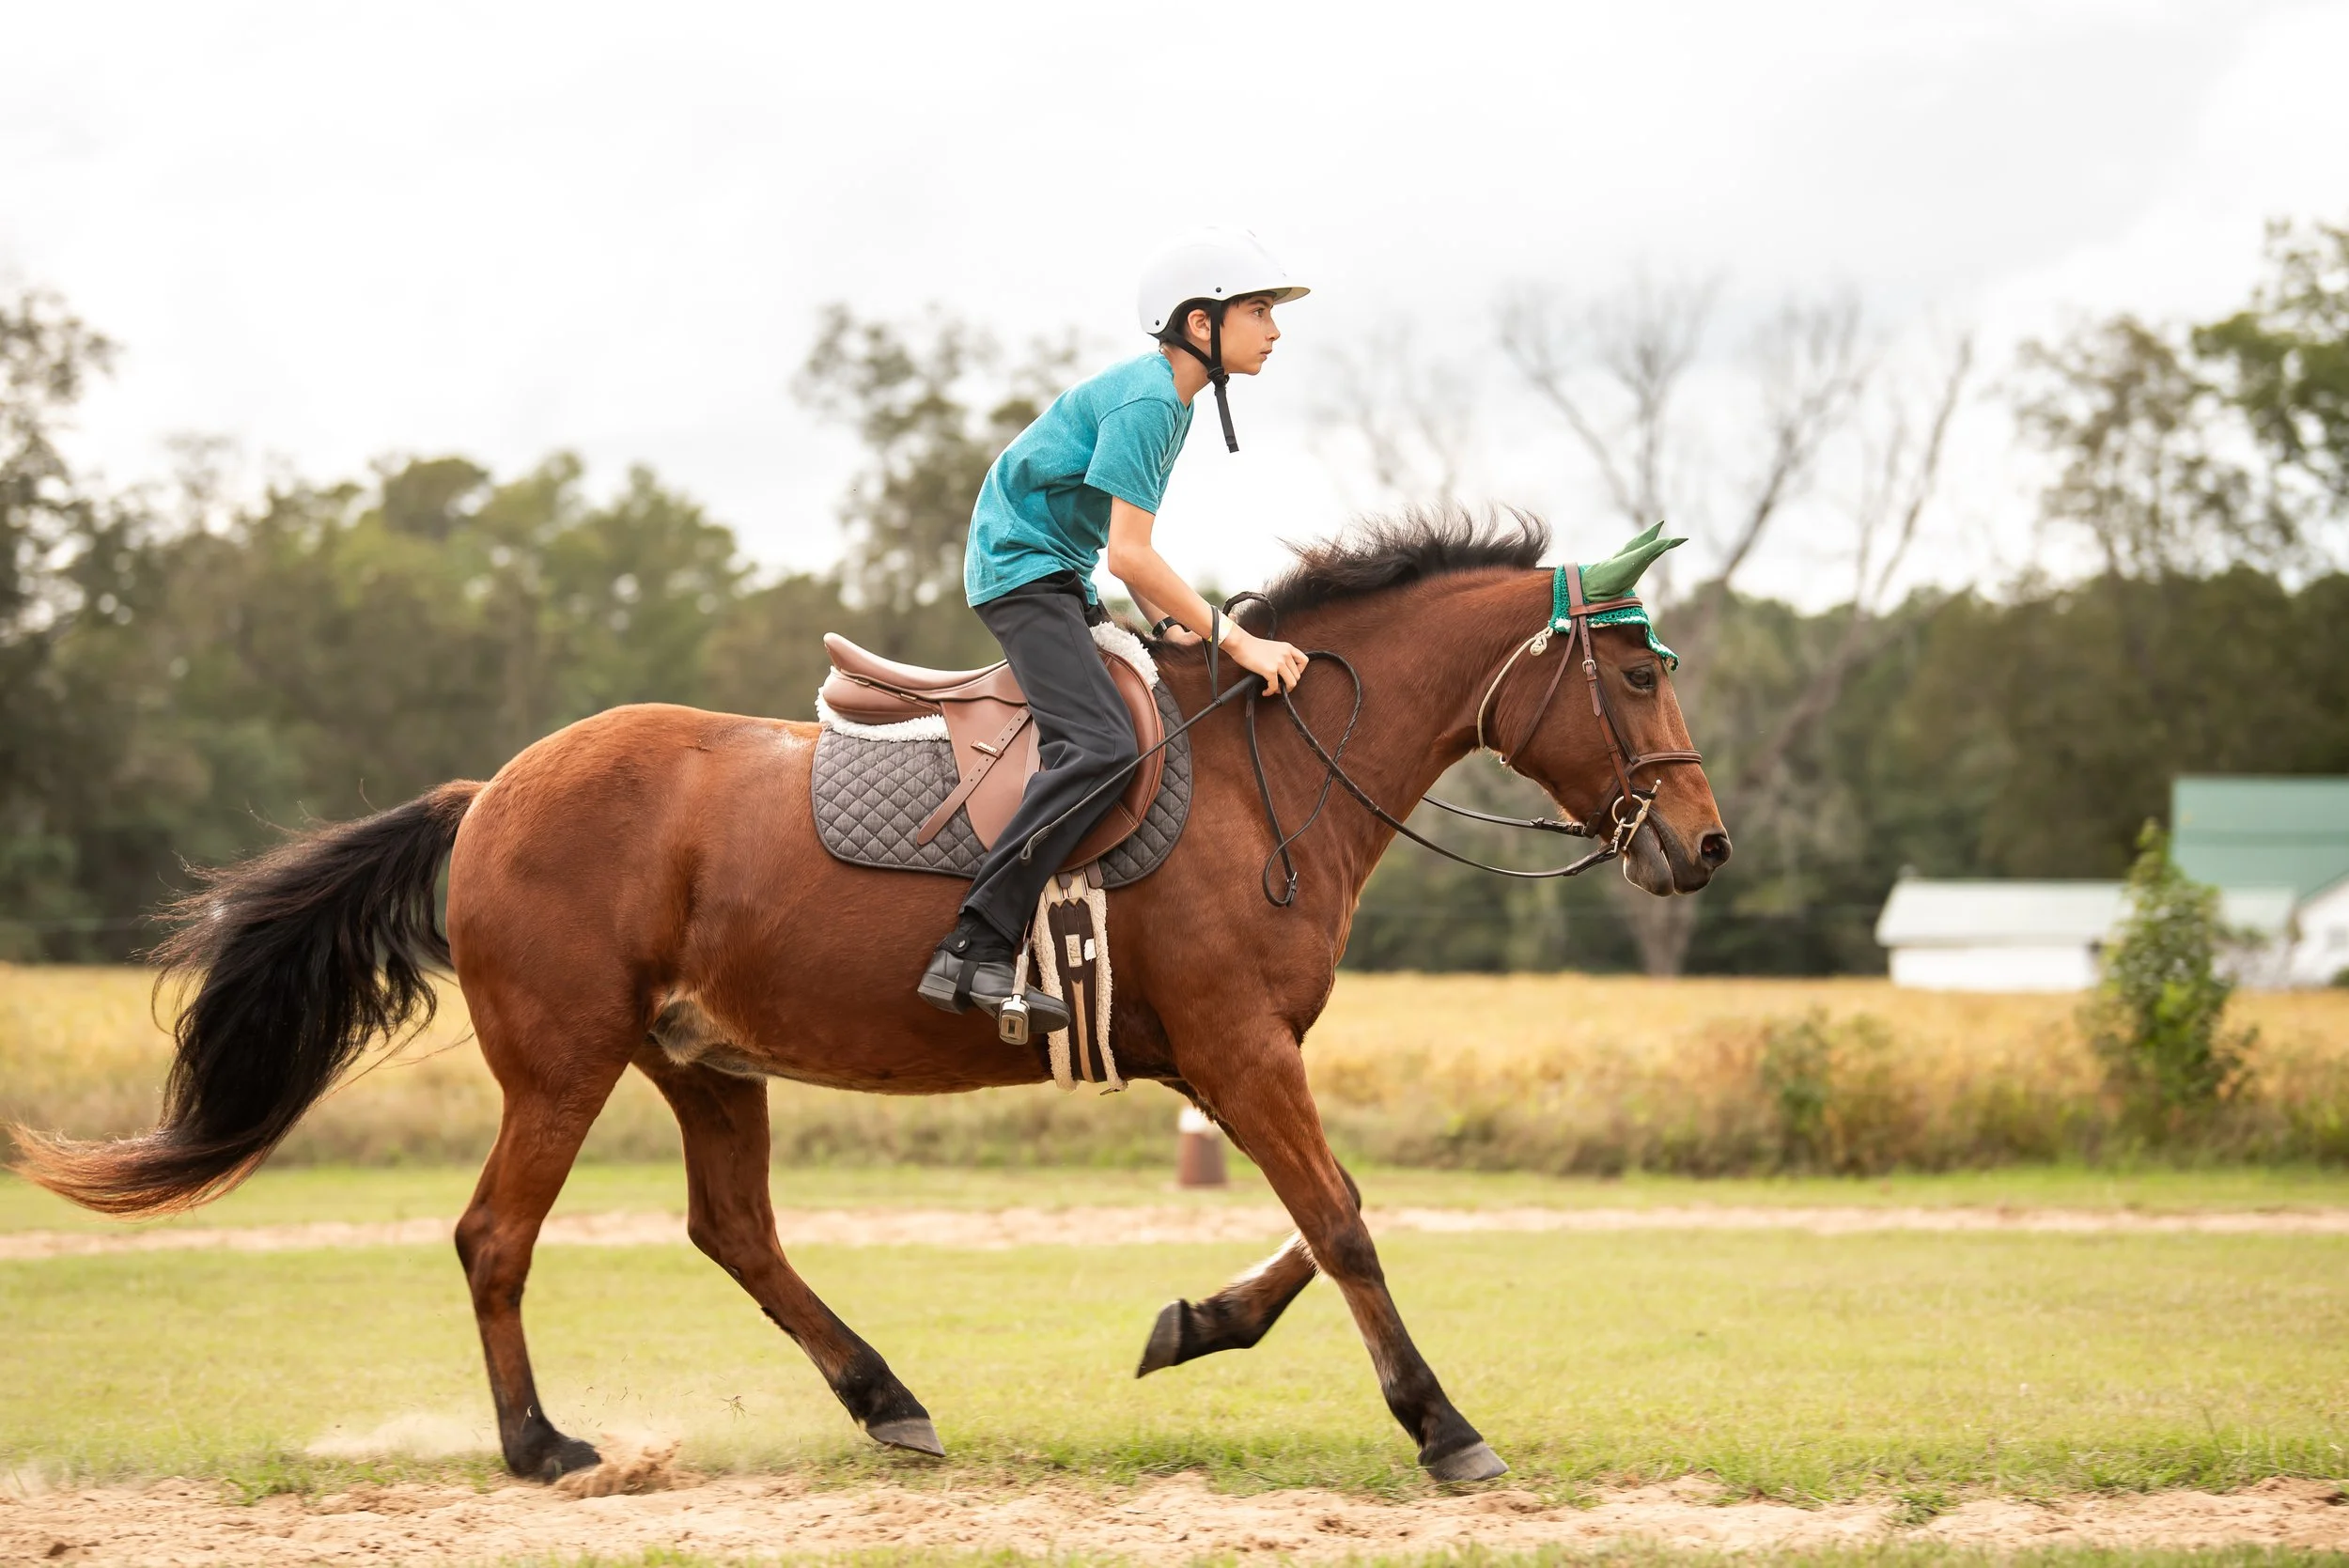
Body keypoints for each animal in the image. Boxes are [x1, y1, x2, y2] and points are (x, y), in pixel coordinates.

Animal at [13, 509, 1729, 1485]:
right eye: (1641, 677)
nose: (1706, 844)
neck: (1270, 767)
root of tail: (491, 787)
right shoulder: (1242, 1053)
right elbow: (1351, 1221)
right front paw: (1442, 1425)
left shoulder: (1241, 1058)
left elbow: (1324, 1224)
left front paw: (1196, 1323)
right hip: (566, 1060)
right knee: (497, 1236)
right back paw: (540, 1446)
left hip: (702, 1058)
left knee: (734, 1230)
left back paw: (883, 1396)